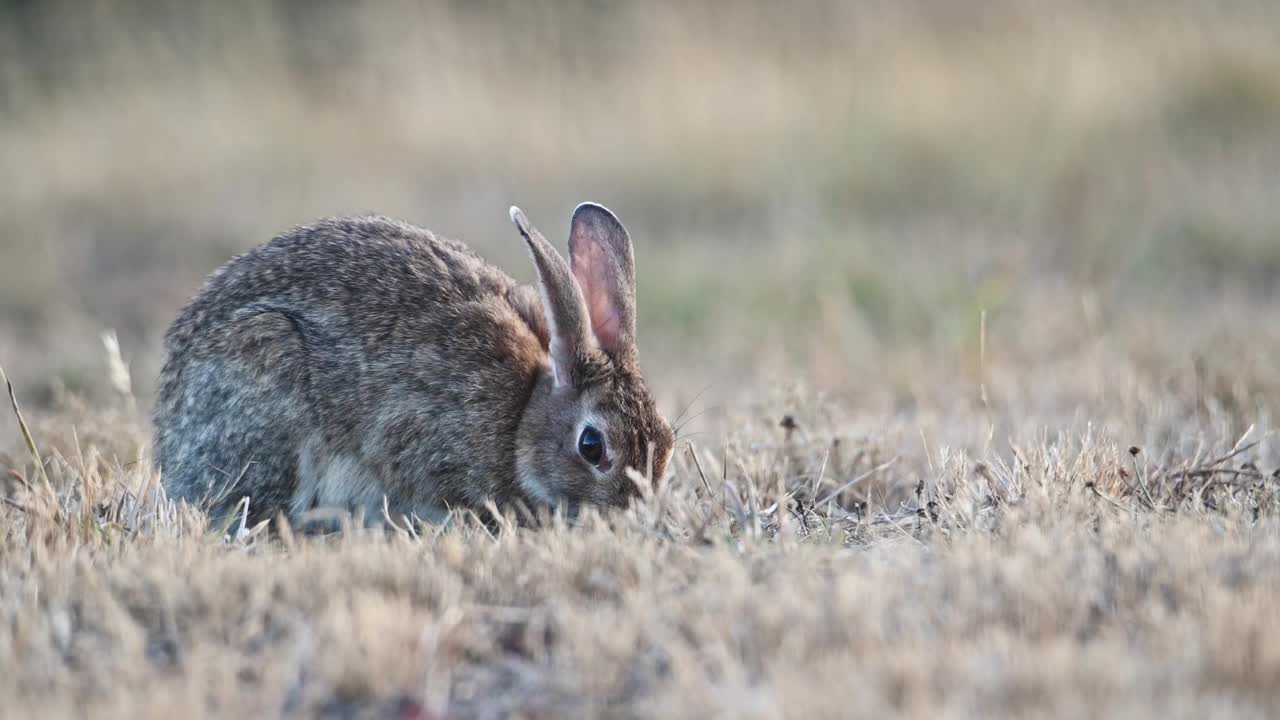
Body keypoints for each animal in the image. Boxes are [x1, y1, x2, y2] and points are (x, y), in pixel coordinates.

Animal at [153, 203, 675, 527]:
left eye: (668, 439)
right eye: (592, 446)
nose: (634, 513)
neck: (522, 416)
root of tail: (167, 442)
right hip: (266, 369)